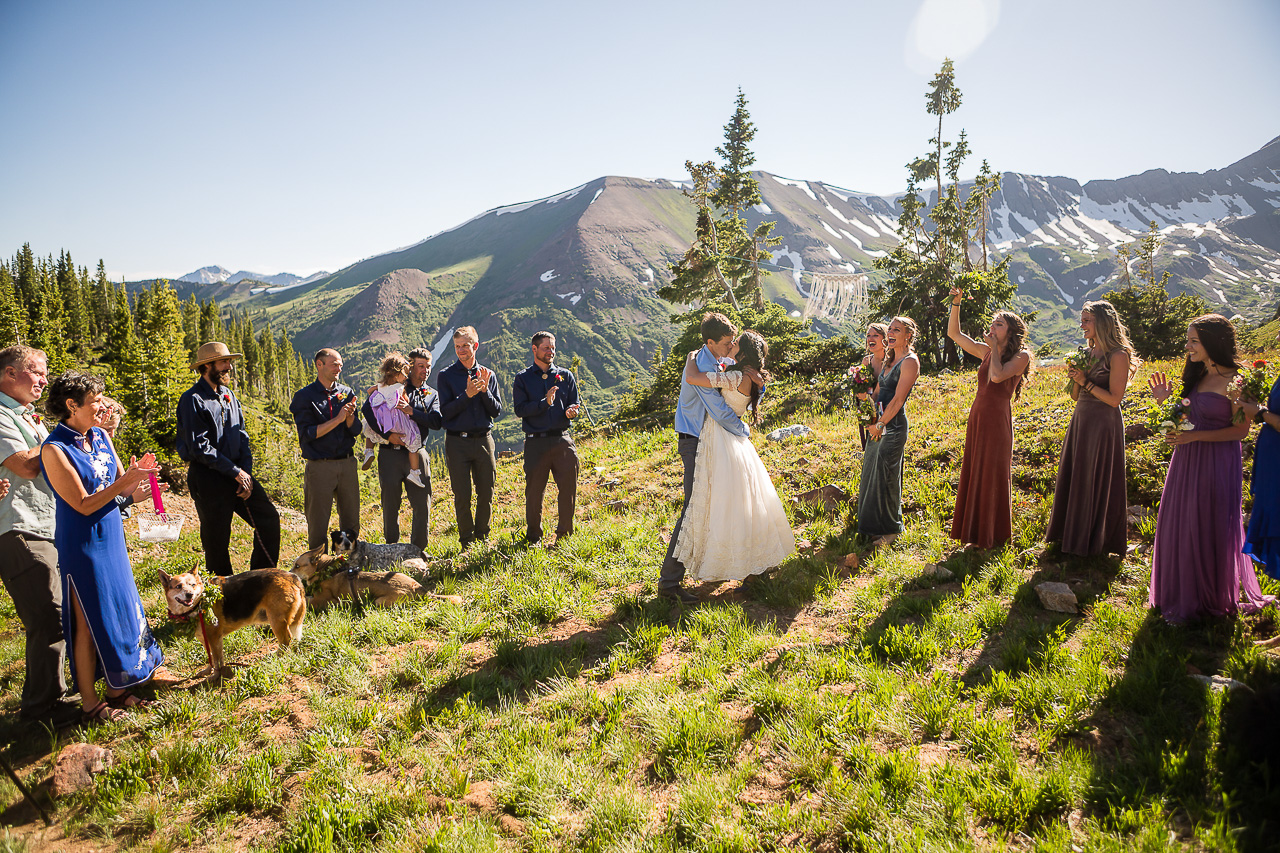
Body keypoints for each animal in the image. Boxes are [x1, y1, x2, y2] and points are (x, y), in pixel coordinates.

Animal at [157, 568, 307, 676]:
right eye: (178, 586)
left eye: (193, 585)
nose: (190, 595)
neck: (199, 604)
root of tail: (292, 576)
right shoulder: (206, 639)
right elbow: (212, 657)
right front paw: (209, 670)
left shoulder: (214, 638)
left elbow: (217, 659)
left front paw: (215, 676)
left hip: (276, 620)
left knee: (286, 639)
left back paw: (278, 657)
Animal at [291, 540, 465, 607]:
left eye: (297, 566)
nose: (289, 574)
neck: (327, 570)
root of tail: (419, 588)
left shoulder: (321, 601)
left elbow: (306, 599)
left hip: (379, 601)